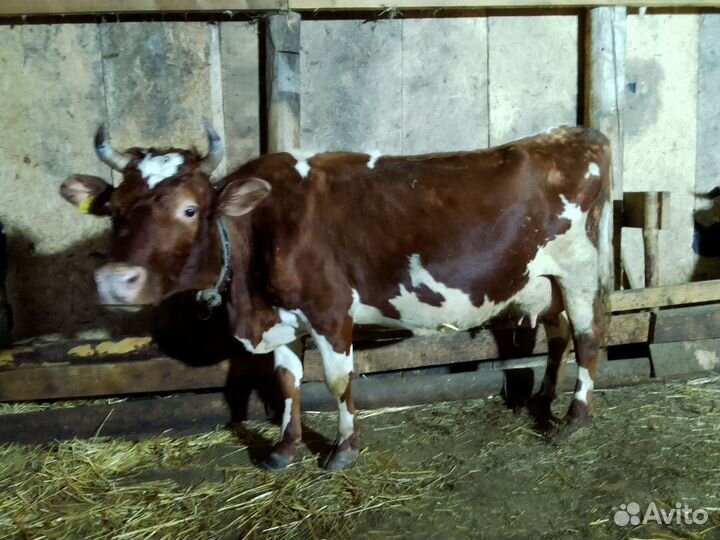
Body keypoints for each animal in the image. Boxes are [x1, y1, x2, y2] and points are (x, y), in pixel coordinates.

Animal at [60, 124, 612, 471]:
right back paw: (542, 398)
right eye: (114, 207)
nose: (115, 280)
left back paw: (574, 419)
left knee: (588, 337)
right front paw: (285, 448)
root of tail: (573, 134)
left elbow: (337, 379)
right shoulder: (283, 318)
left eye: (190, 209)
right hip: (545, 278)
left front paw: (344, 448)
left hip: (580, 268)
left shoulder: (329, 311)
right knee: (558, 334)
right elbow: (286, 380)